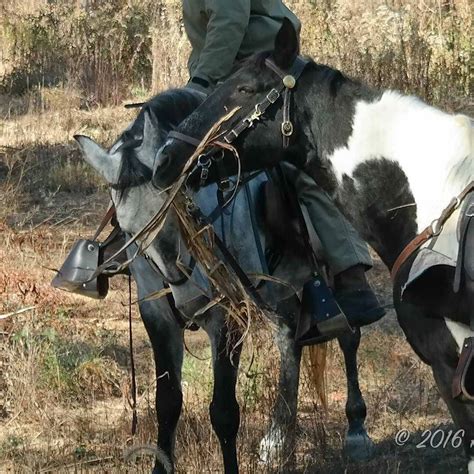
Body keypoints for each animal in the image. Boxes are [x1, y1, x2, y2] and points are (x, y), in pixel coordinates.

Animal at [75, 89, 378, 470]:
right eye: (129, 229)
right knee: (289, 341)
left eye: (175, 207)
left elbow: (223, 413)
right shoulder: (159, 318)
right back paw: (278, 439)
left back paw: (356, 429)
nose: (185, 291)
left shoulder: (229, 315)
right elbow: (167, 403)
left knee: (349, 332)